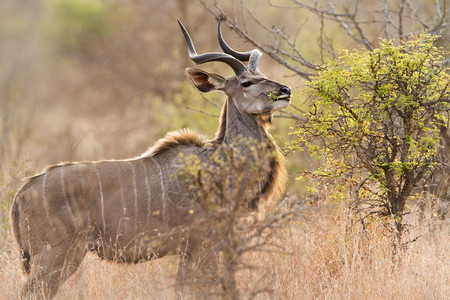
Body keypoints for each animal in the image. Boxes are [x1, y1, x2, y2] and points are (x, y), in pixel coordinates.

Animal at [11, 19, 292, 298]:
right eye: (246, 83)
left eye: (261, 76)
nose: (285, 90)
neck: (222, 163)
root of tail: (23, 193)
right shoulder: (206, 243)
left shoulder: (191, 249)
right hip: (56, 256)